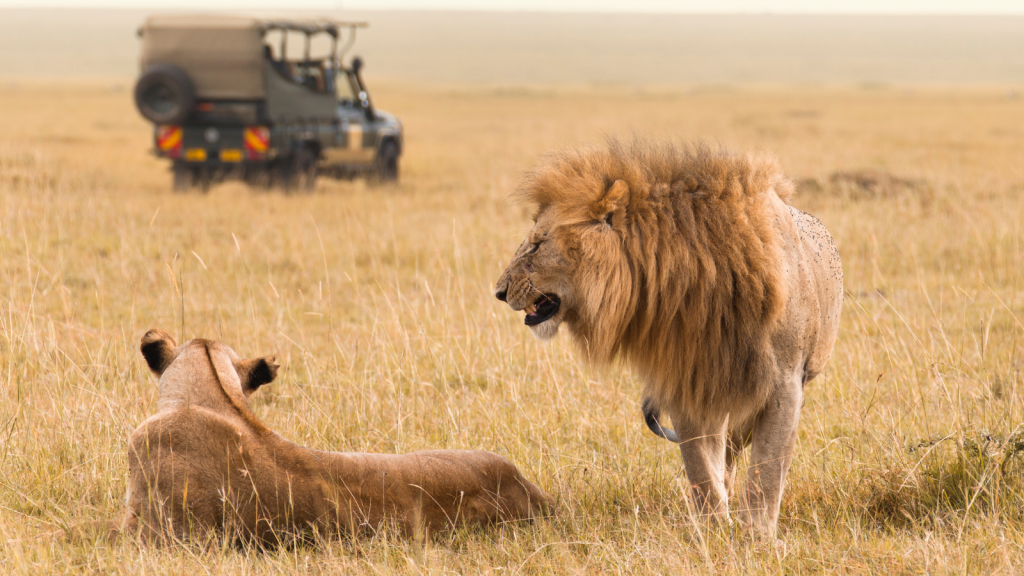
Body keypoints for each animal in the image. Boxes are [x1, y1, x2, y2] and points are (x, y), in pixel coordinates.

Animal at [495, 136, 839, 537]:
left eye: (538, 244)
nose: (499, 292)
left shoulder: (784, 382)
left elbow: (767, 469)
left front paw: (758, 536)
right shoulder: (687, 380)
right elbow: (700, 466)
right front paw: (713, 529)